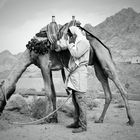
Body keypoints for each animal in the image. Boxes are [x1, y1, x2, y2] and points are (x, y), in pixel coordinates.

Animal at [0, 17, 135, 126]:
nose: (0, 112)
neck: (32, 50)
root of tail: (104, 46)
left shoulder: (44, 65)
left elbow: (48, 92)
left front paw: (44, 119)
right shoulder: (49, 68)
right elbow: (53, 93)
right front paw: (53, 118)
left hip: (104, 58)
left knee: (121, 87)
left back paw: (131, 120)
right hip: (98, 66)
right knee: (106, 89)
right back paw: (100, 119)